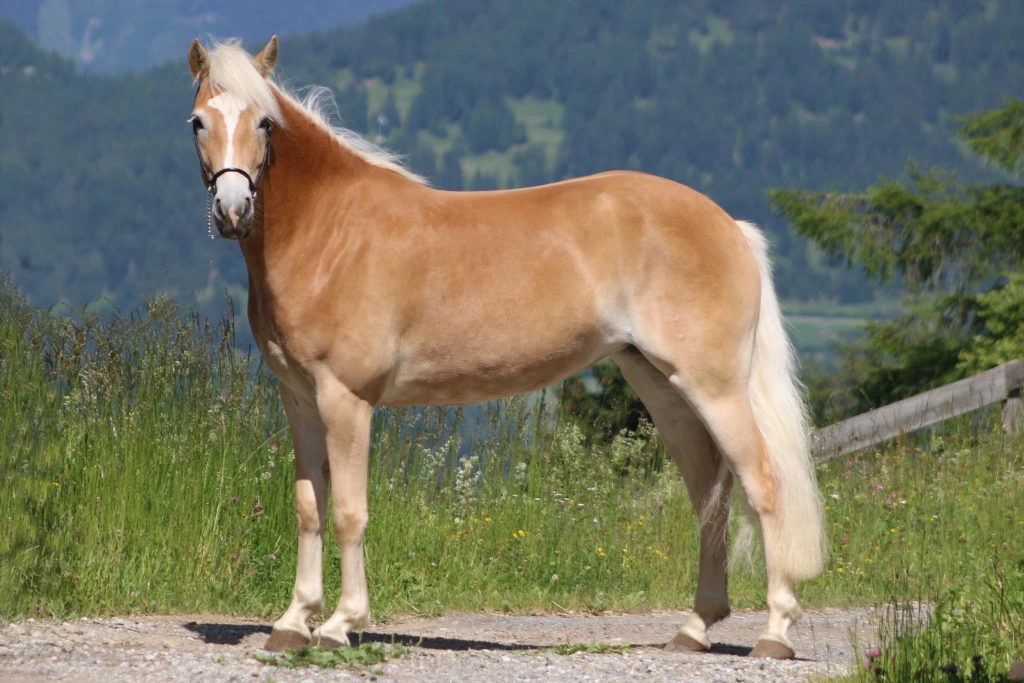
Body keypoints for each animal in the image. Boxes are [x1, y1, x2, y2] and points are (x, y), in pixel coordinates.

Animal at [185, 36, 824, 659]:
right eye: (198, 121)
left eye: (264, 123)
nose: (233, 211)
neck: (331, 230)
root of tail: (730, 225)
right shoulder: (299, 400)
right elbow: (309, 508)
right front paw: (294, 622)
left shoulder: (347, 401)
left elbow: (347, 512)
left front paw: (342, 623)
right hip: (662, 387)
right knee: (709, 492)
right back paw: (695, 627)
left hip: (715, 387)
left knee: (763, 484)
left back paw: (775, 633)